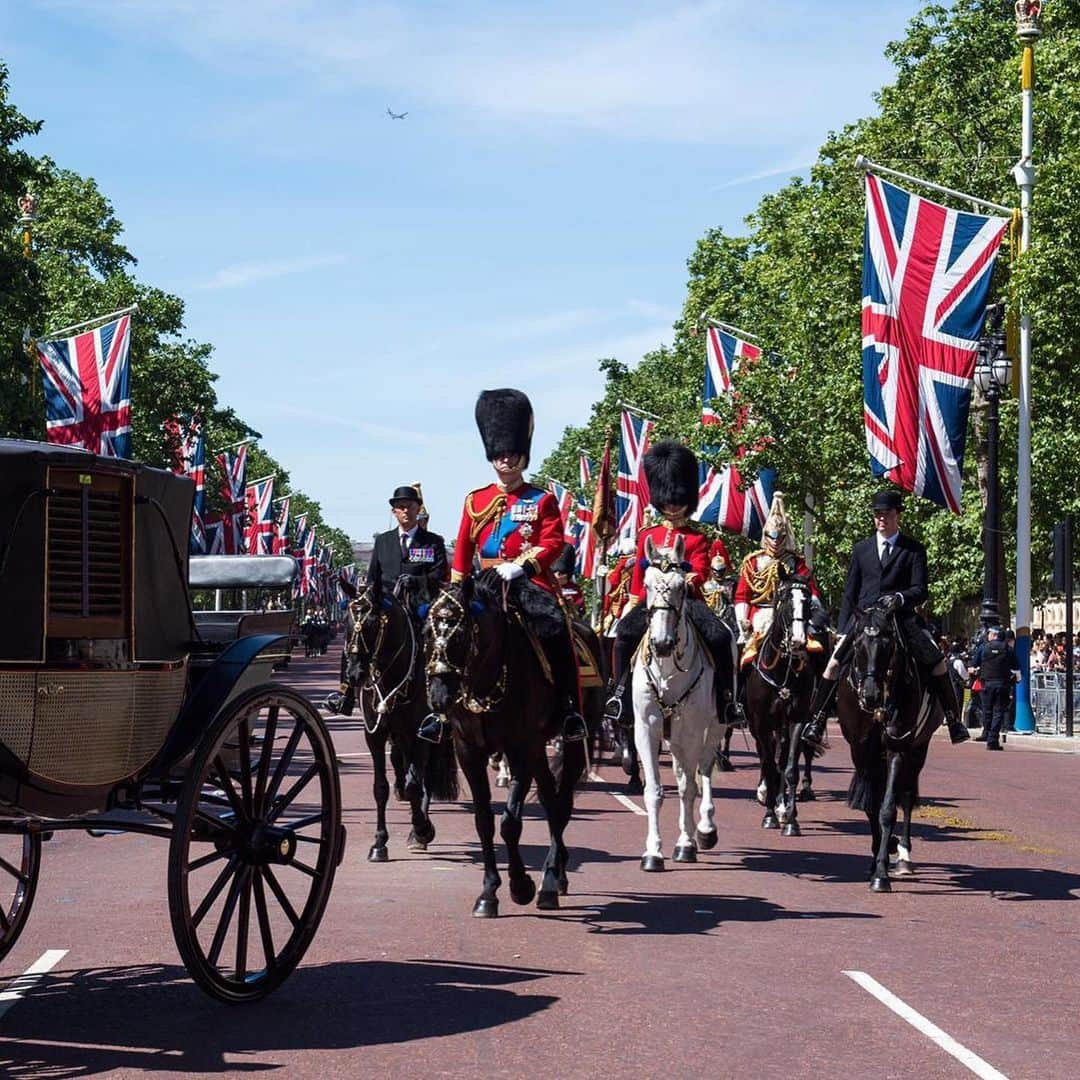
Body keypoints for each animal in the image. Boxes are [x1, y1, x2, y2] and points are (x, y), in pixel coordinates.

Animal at [343, 574, 457, 859]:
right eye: (348, 621)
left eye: (373, 623)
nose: (355, 674)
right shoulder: (375, 735)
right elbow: (380, 787)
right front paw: (379, 842)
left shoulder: (420, 735)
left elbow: (416, 785)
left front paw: (421, 829)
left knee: (426, 777)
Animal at [423, 574, 591, 920]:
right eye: (426, 633)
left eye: (460, 634)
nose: (438, 697)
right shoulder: (469, 751)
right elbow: (484, 821)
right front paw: (488, 892)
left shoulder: (520, 748)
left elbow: (511, 823)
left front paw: (520, 886)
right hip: (538, 749)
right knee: (550, 798)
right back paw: (554, 876)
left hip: (569, 744)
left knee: (562, 802)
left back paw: (552, 880)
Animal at [630, 535, 730, 872]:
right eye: (647, 585)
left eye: (680, 587)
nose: (661, 644)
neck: (667, 670)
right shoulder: (646, 727)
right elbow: (655, 791)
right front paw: (653, 852)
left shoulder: (693, 729)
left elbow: (689, 788)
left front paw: (686, 843)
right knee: (682, 771)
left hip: (714, 727)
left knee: (704, 769)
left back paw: (705, 830)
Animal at [747, 578, 820, 838]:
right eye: (786, 601)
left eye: (807, 603)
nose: (798, 642)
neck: (782, 673)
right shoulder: (762, 723)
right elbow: (769, 766)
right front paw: (769, 815)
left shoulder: (796, 720)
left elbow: (789, 769)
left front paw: (790, 819)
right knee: (764, 757)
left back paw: (782, 806)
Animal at [833, 604, 937, 889]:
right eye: (857, 644)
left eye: (888, 646)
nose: (871, 695)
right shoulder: (860, 749)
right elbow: (871, 803)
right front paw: (877, 858)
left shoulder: (897, 746)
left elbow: (888, 807)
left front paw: (881, 872)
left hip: (918, 750)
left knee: (907, 796)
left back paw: (904, 857)